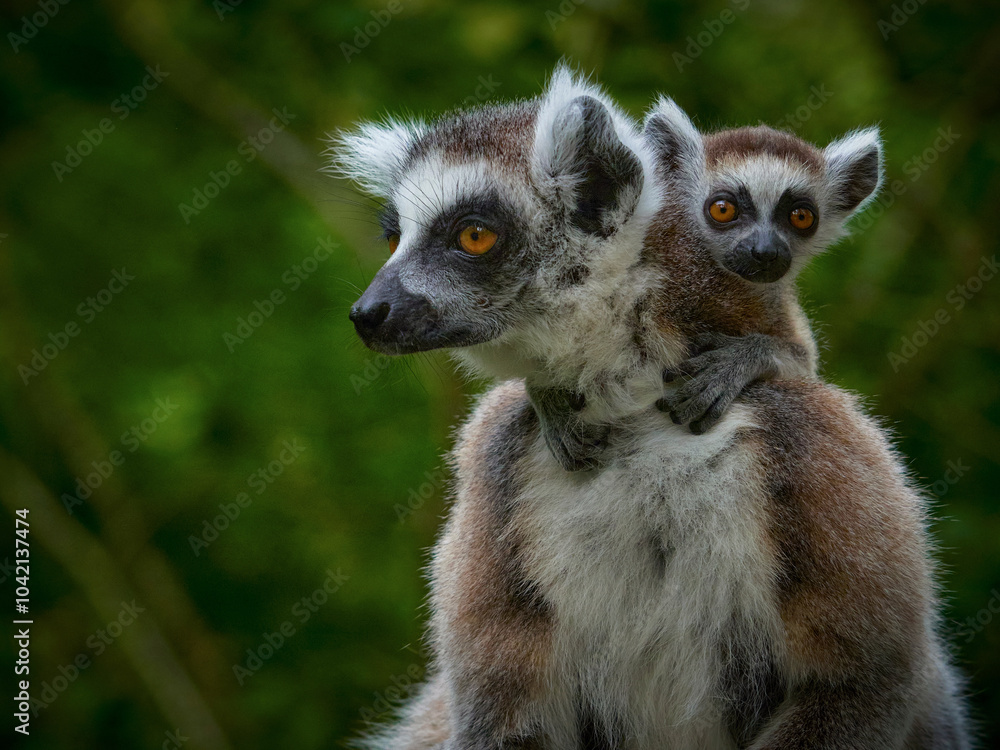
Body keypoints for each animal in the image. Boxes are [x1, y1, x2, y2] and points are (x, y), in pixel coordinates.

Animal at [333, 67, 970, 749]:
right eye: (394, 236)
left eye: (473, 235)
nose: (368, 314)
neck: (633, 407)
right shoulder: (501, 461)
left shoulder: (808, 434)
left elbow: (859, 679)